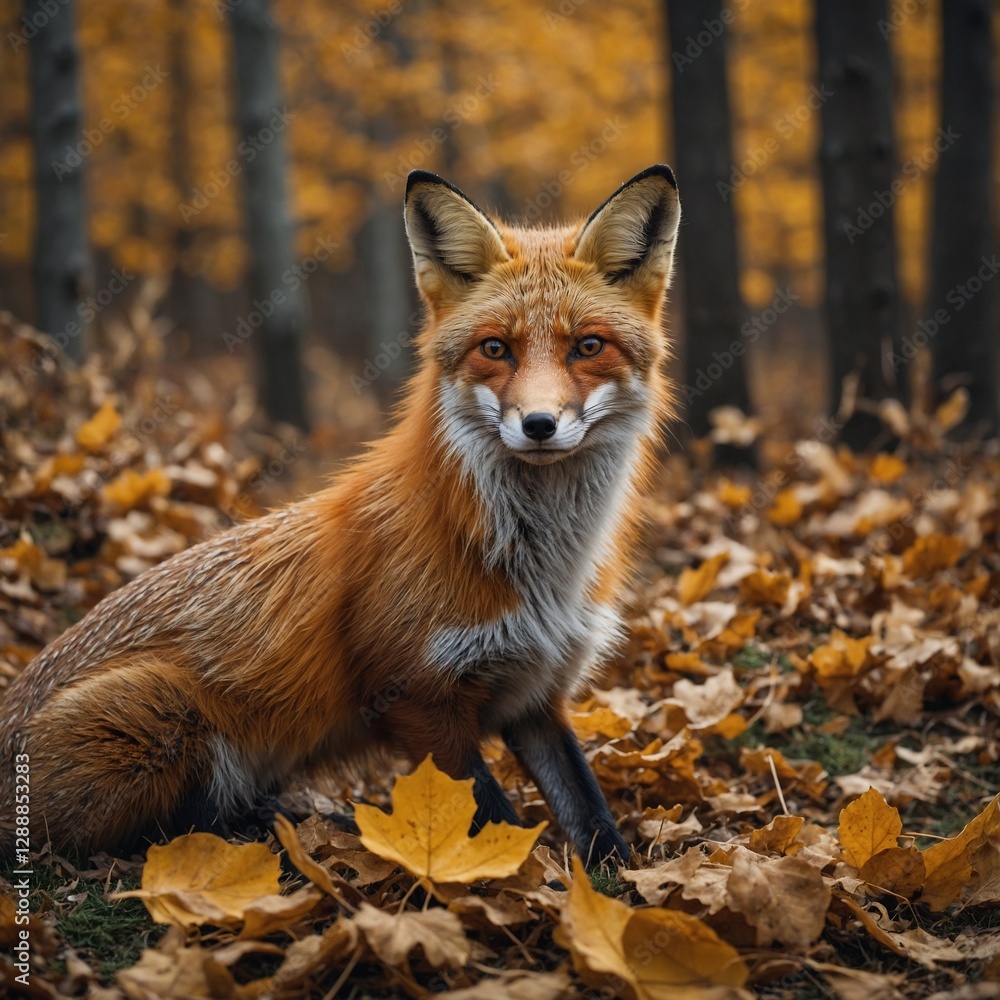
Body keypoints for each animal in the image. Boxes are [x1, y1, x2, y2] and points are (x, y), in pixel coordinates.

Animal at [0, 164, 680, 863]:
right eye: (496, 349)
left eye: (588, 346)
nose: (539, 424)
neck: (540, 569)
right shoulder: (417, 700)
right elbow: (493, 820)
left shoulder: (537, 696)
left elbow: (592, 817)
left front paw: (612, 879)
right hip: (163, 718)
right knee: (166, 833)